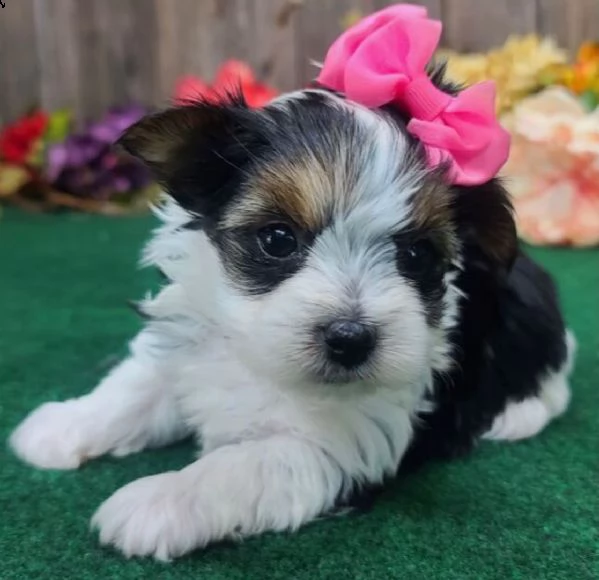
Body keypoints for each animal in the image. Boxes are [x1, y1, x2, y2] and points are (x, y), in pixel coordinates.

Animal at [8, 76, 572, 556]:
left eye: (416, 255)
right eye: (277, 239)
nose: (351, 338)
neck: (260, 357)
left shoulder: (343, 446)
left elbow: (244, 463)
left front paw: (157, 501)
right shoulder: (187, 345)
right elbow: (136, 388)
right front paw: (62, 425)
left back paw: (515, 417)